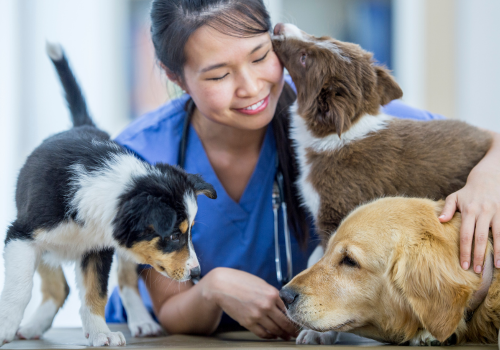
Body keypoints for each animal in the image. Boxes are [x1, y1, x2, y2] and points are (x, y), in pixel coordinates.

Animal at [0, 44, 217, 348]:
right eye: (175, 235)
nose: (197, 274)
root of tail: (81, 125)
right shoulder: (21, 234)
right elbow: (19, 289)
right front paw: (5, 327)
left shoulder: (97, 250)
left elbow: (96, 293)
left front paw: (101, 333)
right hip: (42, 244)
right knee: (59, 287)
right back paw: (33, 326)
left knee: (125, 282)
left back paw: (143, 322)